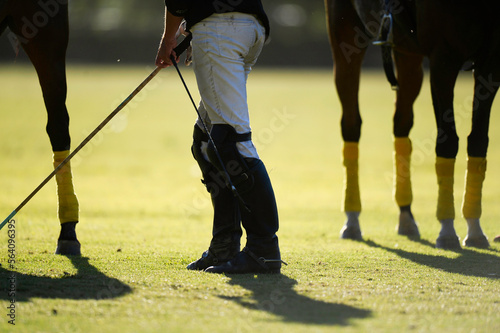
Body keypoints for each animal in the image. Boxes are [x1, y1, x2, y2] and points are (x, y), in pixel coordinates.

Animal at [326, 0, 498, 248]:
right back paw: (352, 219)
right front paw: (447, 231)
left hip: (407, 54)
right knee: (351, 124)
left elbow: (478, 141)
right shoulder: (443, 57)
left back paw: (406, 216)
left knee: (401, 123)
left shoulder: (492, 63)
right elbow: (447, 142)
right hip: (345, 39)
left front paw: (475, 230)